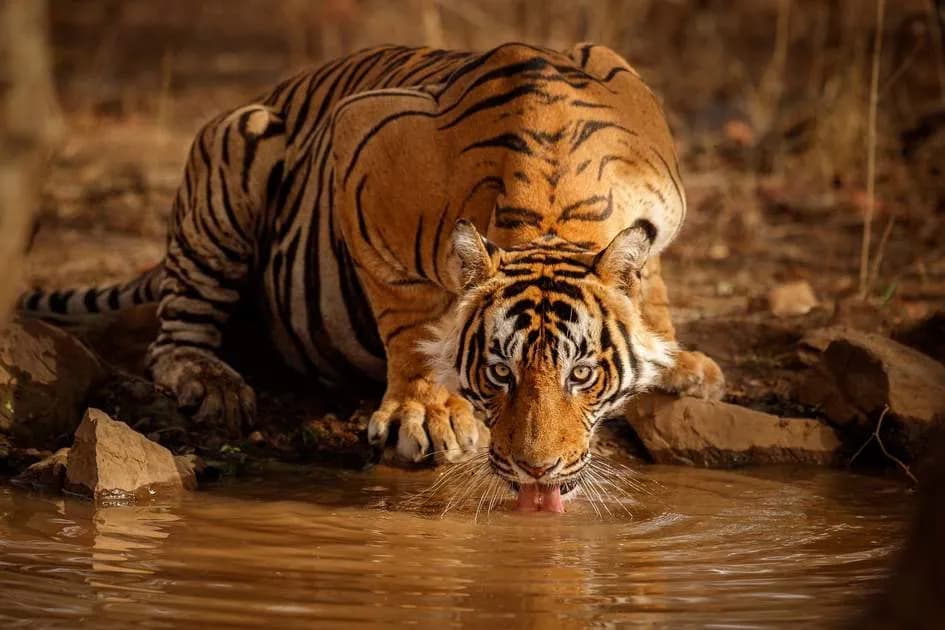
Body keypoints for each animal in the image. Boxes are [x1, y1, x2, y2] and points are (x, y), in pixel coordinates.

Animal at [21, 43, 724, 511]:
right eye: (500, 373)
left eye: (581, 375)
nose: (535, 472)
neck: (551, 205)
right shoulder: (361, 156)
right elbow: (409, 317)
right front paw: (426, 414)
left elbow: (652, 282)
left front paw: (675, 359)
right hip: (235, 147)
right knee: (174, 337)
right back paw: (212, 382)